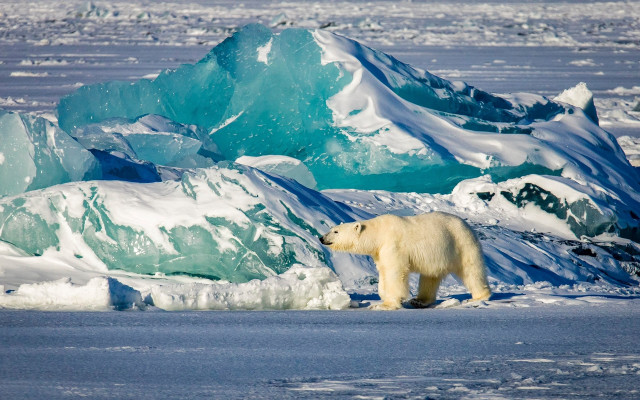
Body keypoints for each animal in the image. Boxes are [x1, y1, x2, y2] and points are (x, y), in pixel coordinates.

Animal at [320, 212, 491, 310]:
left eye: (336, 231)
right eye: (332, 229)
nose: (322, 238)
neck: (379, 232)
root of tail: (467, 225)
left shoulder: (393, 245)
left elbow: (394, 272)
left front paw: (385, 305)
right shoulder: (380, 251)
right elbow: (383, 271)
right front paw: (383, 296)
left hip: (461, 243)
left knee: (471, 270)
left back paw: (479, 296)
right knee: (429, 277)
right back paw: (419, 301)